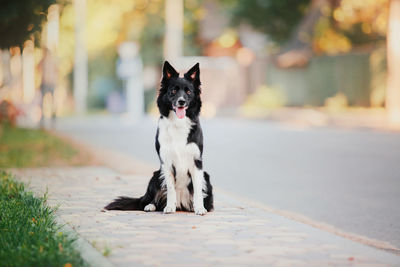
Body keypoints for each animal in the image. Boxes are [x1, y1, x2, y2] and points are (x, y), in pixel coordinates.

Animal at [104, 61, 214, 216]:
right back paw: (151, 206)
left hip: (207, 177)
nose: (181, 102)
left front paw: (199, 208)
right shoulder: (166, 162)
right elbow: (170, 188)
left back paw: (194, 207)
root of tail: (182, 204)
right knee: (148, 201)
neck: (178, 124)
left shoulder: (197, 162)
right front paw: (170, 207)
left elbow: (198, 189)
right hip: (155, 175)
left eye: (188, 92)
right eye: (173, 91)